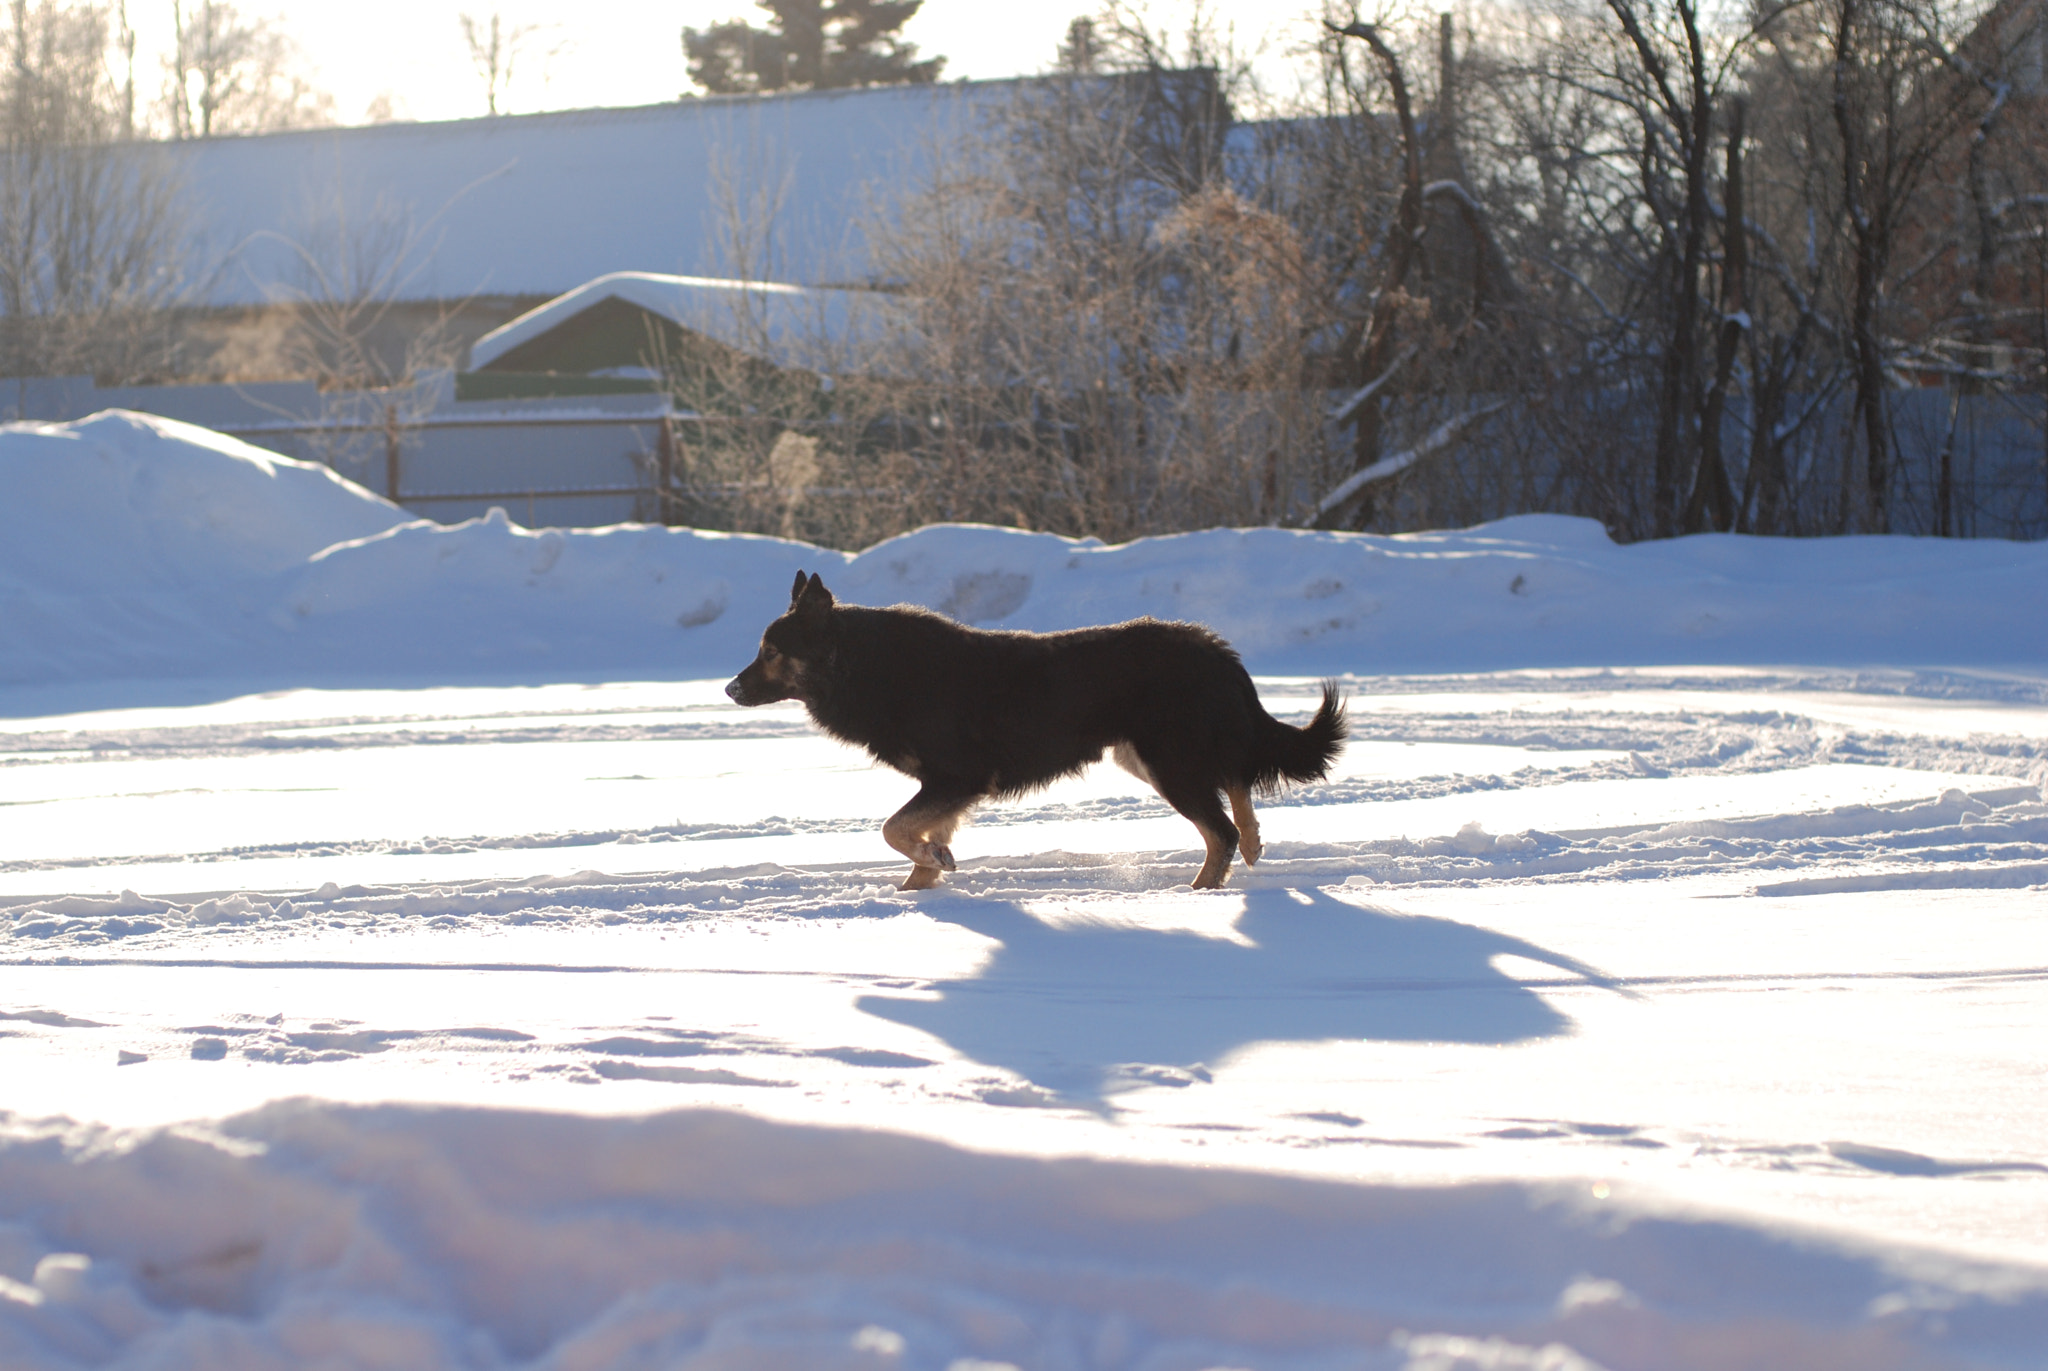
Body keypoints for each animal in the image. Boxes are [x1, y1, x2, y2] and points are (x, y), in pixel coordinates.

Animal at [729, 565, 1351, 889]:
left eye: (770, 652)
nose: (731, 690)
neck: (865, 667)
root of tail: (1215, 648)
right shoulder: (949, 789)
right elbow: (916, 839)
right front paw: (919, 889)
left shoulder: (957, 778)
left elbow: (893, 829)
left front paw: (931, 866)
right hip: (1144, 756)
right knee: (1237, 782)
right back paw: (1252, 842)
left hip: (1167, 763)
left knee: (1218, 828)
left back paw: (1198, 894)